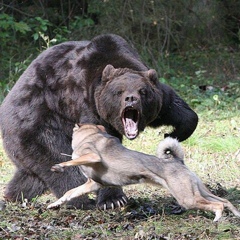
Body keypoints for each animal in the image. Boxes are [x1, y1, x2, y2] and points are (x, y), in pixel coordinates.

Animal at [0, 34, 198, 210]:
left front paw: (173, 132)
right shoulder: (88, 105)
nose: (131, 99)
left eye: (143, 91)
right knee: (57, 159)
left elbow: (179, 110)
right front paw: (113, 200)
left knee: (32, 174)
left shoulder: (158, 99)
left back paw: (13, 196)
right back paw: (80, 201)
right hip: (35, 124)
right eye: (119, 91)